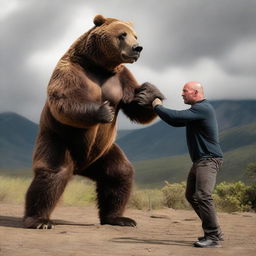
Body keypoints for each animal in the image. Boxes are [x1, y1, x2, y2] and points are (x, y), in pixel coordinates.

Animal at [24, 15, 164, 229]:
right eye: (122, 34)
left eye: (136, 35)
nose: (138, 48)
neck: (100, 66)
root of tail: (80, 167)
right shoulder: (71, 72)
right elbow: (64, 101)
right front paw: (104, 110)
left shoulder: (121, 78)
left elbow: (136, 108)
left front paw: (148, 92)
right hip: (58, 140)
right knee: (52, 173)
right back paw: (39, 220)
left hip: (103, 153)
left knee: (118, 175)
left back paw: (118, 218)